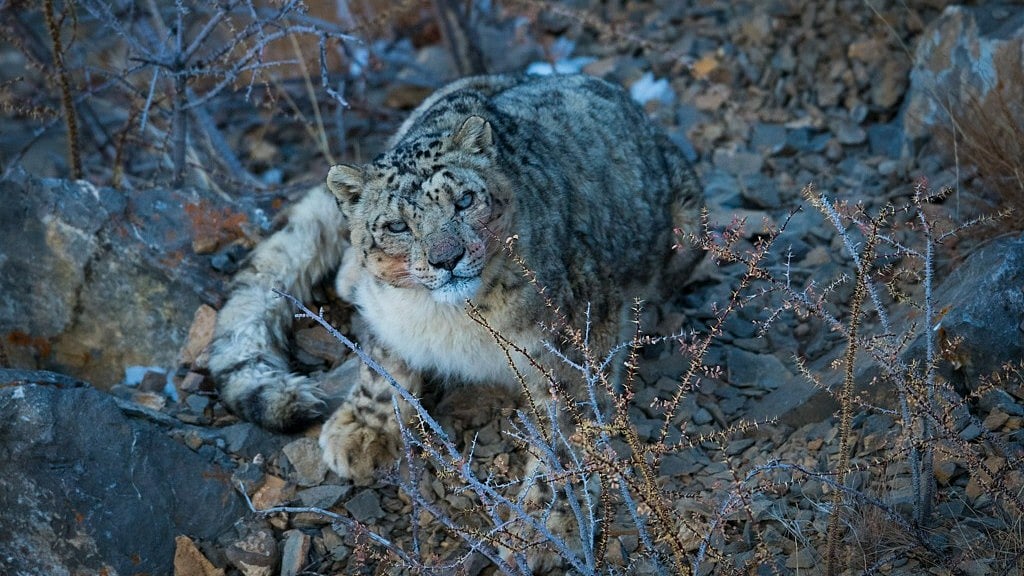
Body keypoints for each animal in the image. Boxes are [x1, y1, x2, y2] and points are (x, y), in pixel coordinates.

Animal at [208, 72, 703, 568]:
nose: (446, 257)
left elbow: (568, 433)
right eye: (397, 226)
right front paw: (362, 432)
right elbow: (382, 365)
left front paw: (545, 525)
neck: (449, 317)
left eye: (464, 200)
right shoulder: (390, 319)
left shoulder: (579, 333)